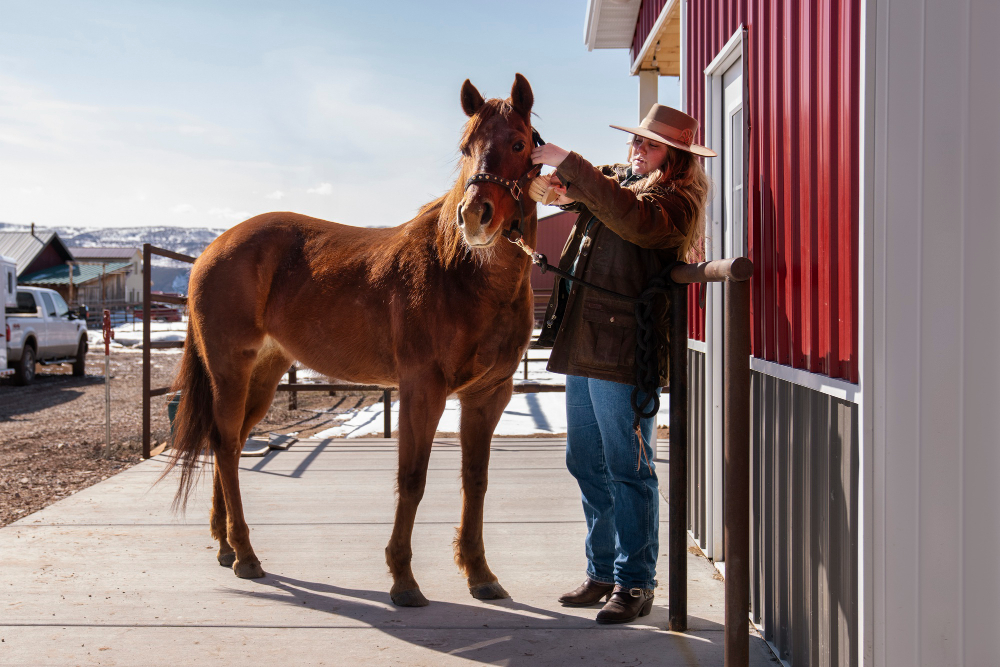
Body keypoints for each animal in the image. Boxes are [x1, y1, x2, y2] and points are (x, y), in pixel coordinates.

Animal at [164, 75, 540, 608]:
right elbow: (412, 479)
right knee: (224, 444)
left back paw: (226, 545)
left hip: (263, 375)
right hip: (230, 369)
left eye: (519, 143)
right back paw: (246, 554)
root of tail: (210, 250)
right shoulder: (422, 390)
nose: (475, 217)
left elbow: (476, 481)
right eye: (465, 148)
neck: (461, 273)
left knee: (229, 445)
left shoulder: (489, 395)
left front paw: (479, 572)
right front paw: (403, 579)